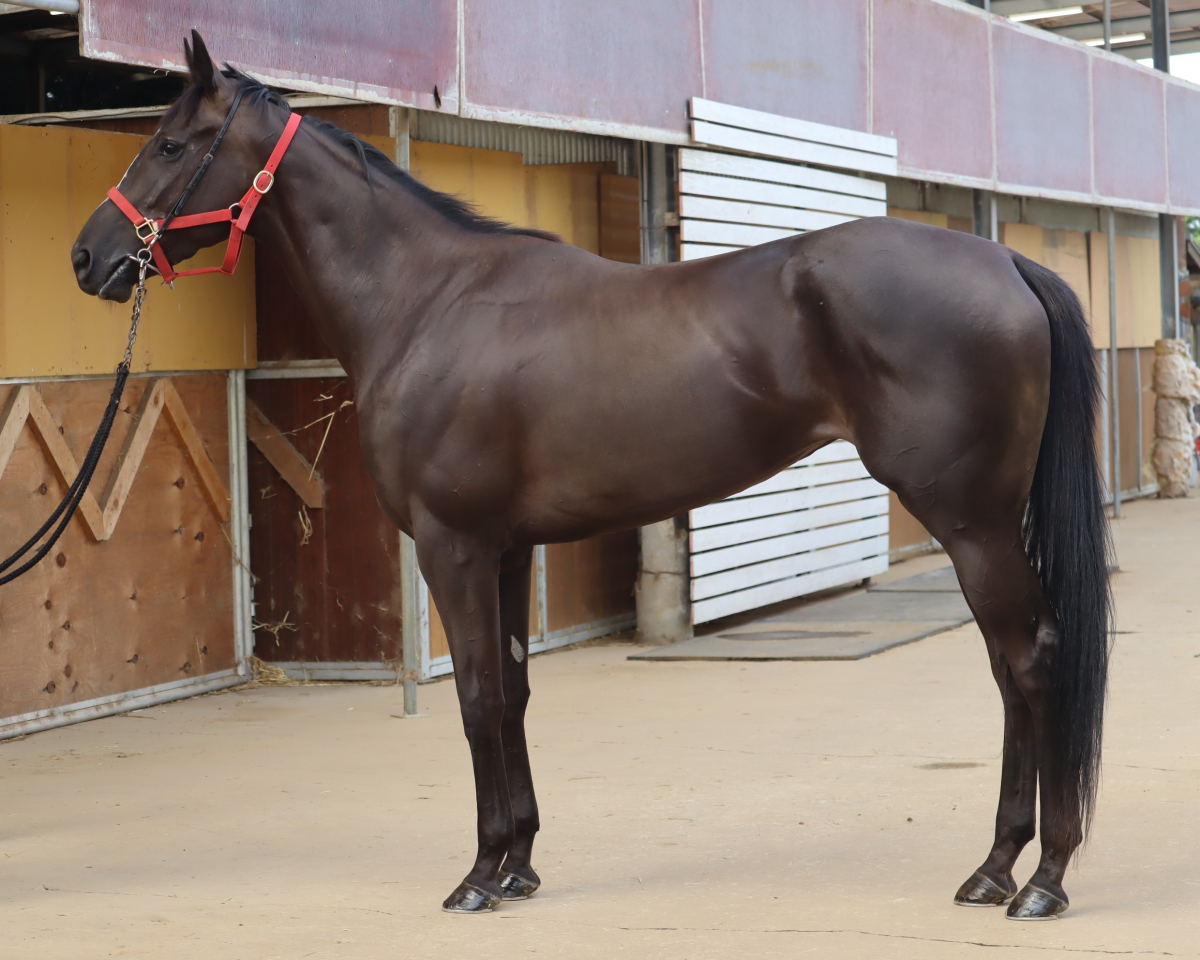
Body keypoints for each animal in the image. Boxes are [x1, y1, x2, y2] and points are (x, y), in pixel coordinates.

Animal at [71, 33, 1111, 920]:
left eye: (168, 143)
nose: (89, 257)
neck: (427, 302)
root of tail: (1007, 261)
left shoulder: (451, 547)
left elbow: (476, 698)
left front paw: (478, 877)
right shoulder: (504, 550)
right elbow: (514, 693)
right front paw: (520, 864)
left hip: (970, 522)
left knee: (1030, 660)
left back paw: (1041, 880)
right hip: (986, 525)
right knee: (1008, 670)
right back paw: (995, 867)